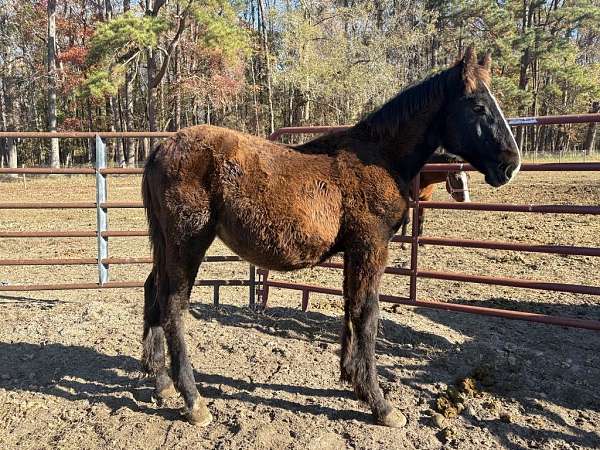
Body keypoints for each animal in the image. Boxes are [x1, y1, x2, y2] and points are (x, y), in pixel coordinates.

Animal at [139, 45, 516, 428]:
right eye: (478, 106)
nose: (510, 165)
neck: (379, 157)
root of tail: (162, 148)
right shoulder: (371, 246)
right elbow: (367, 314)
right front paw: (380, 403)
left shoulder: (354, 250)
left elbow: (352, 306)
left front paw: (353, 380)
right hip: (188, 242)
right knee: (173, 305)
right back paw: (193, 400)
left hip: (168, 246)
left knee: (153, 291)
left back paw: (162, 383)